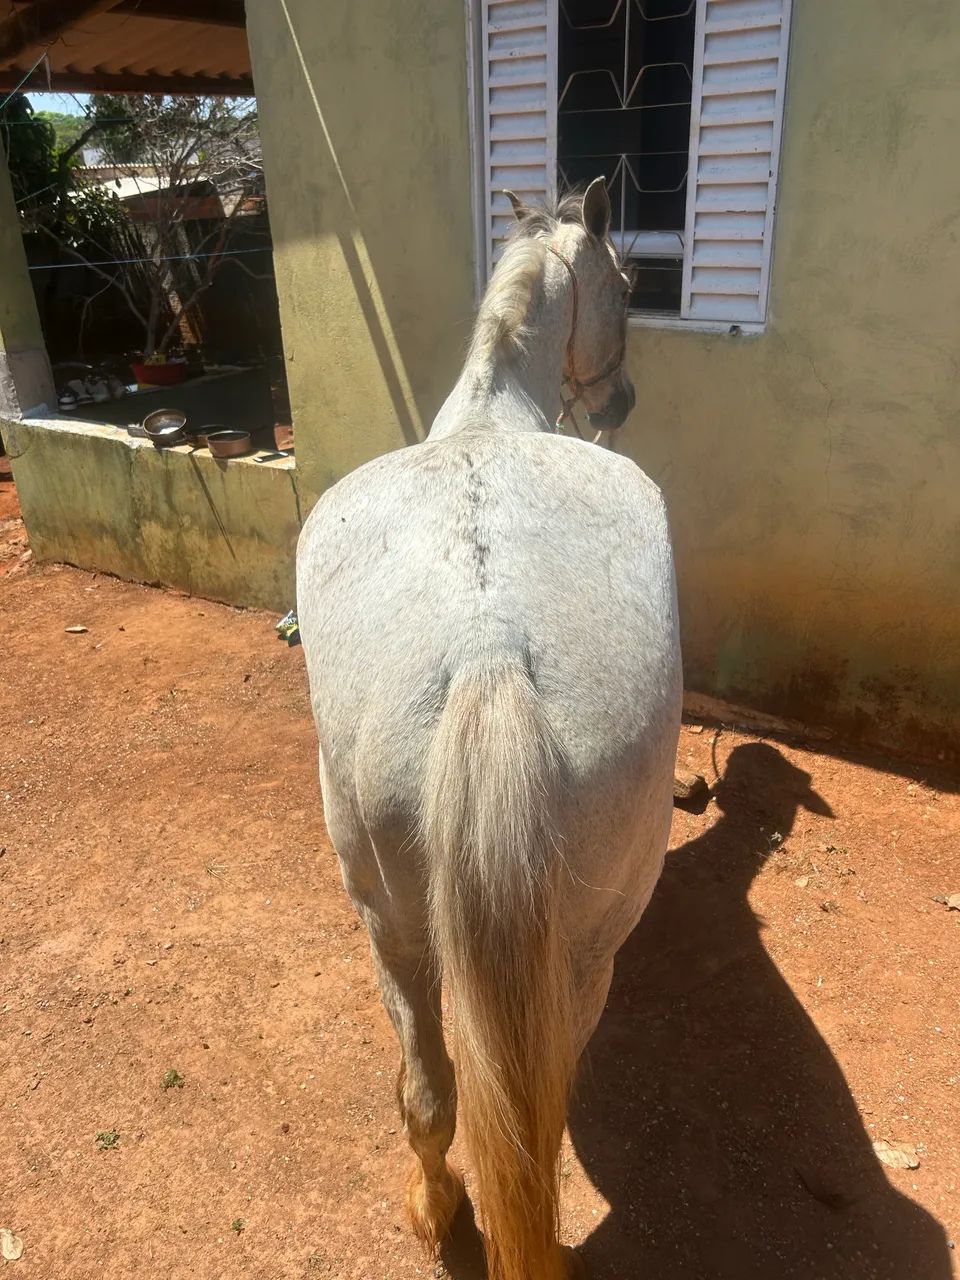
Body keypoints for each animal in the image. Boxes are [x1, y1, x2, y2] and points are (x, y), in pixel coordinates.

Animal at [296, 179, 682, 1280]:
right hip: (580, 954)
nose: (622, 404)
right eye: (626, 285)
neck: (487, 414)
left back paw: (438, 1207)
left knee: (439, 1100)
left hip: (391, 926)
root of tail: (486, 647)